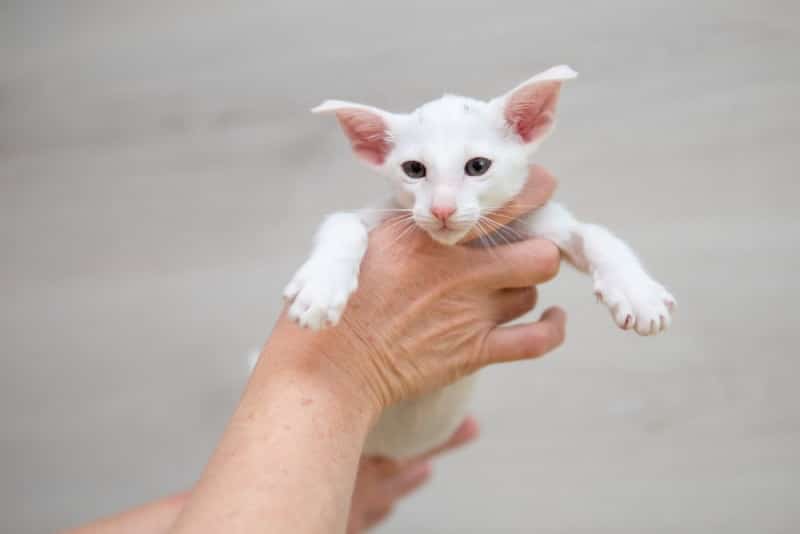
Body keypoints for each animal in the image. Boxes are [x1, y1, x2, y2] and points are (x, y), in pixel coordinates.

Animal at [282, 66, 676, 460]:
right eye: (414, 169)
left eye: (477, 166)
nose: (441, 210)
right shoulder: (383, 214)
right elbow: (342, 223)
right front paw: (321, 288)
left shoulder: (535, 222)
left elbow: (596, 234)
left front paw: (637, 293)